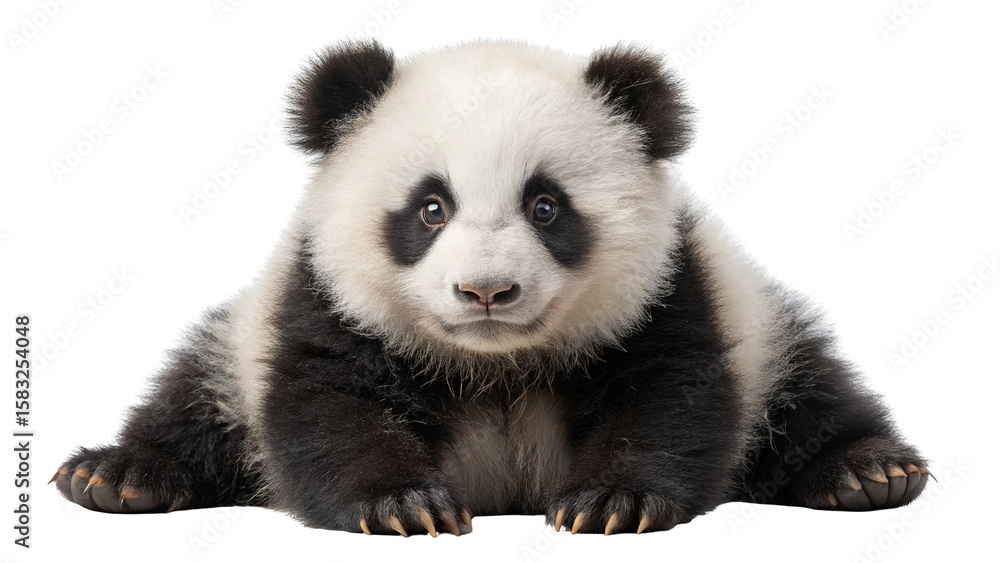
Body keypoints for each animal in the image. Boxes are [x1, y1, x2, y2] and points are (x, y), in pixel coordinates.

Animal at [53, 39, 929, 536]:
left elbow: (672, 393)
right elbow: (326, 403)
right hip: (236, 340)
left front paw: (610, 502)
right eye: (430, 207)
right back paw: (118, 475)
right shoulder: (321, 297)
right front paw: (404, 504)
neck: (494, 361)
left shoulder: (670, 287)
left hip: (764, 328)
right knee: (194, 395)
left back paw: (867, 471)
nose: (486, 292)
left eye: (546, 206)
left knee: (808, 388)